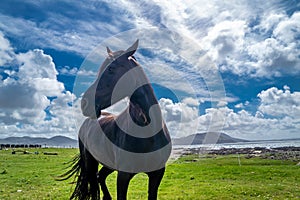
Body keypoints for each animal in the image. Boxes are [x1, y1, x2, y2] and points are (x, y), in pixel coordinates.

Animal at [59, 40, 171, 200]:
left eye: (111, 69)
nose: (84, 103)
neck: (148, 131)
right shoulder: (123, 175)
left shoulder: (157, 174)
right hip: (90, 162)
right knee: (94, 181)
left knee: (100, 176)